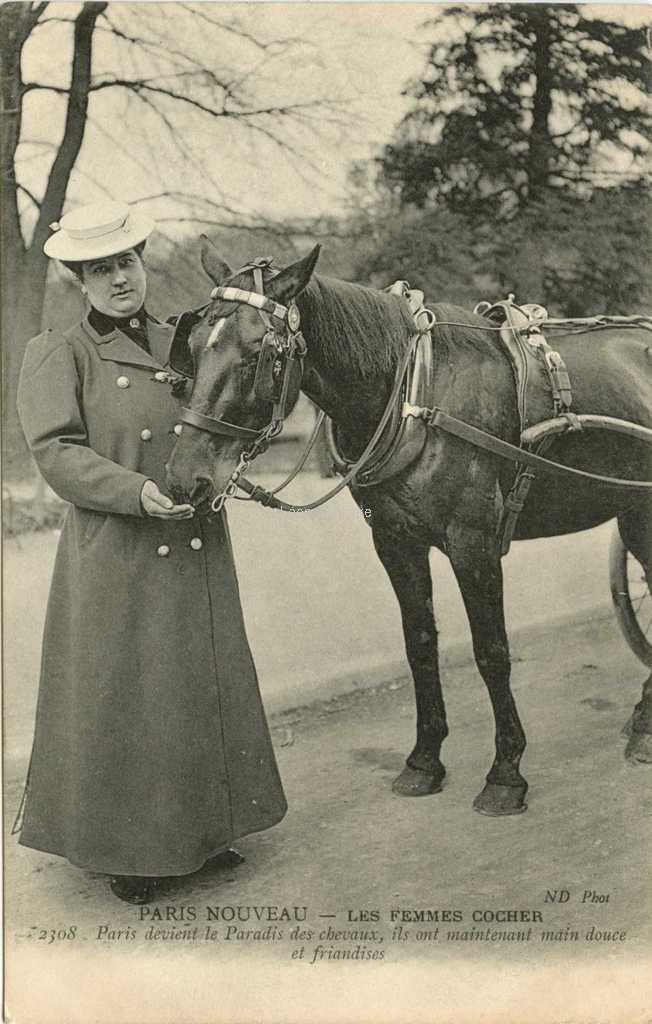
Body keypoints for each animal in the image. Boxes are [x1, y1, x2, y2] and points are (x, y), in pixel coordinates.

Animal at [163, 239, 650, 815]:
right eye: (193, 346)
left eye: (258, 352)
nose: (184, 478)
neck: (417, 395)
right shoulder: (396, 543)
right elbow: (419, 644)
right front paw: (424, 761)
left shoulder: (473, 545)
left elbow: (492, 652)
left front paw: (506, 773)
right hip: (635, 510)